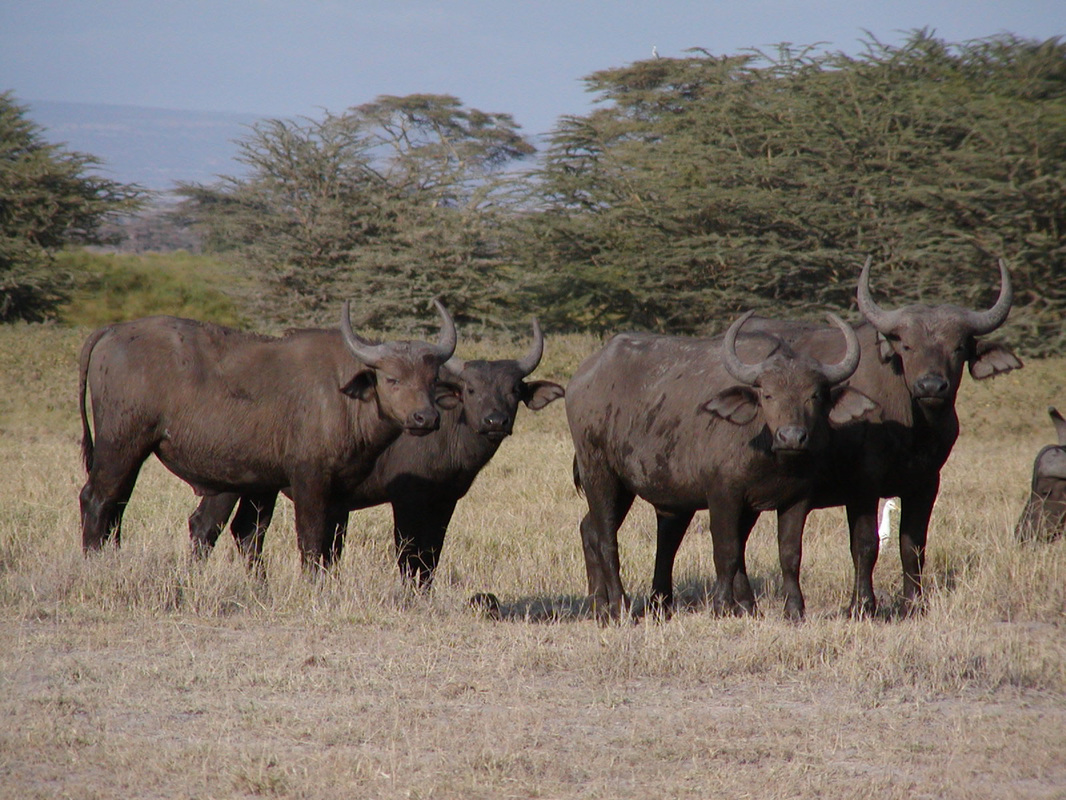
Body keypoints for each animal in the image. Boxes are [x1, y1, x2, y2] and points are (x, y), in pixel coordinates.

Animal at [78, 301, 457, 567]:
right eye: (392, 379)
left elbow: (280, 538)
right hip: (120, 446)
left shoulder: (296, 488)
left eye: (432, 379)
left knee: (118, 505)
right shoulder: (309, 480)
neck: (343, 395)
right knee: (96, 499)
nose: (425, 418)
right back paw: (94, 563)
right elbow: (311, 539)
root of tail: (112, 330)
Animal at [186, 319, 565, 584]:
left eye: (513, 389)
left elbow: (432, 554)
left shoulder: (444, 501)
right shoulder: (406, 499)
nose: (495, 420)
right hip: (228, 484)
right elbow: (408, 554)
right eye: (471, 389)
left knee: (240, 532)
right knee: (205, 527)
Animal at [566, 310, 879, 621]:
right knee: (607, 538)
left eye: (814, 395)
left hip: (627, 487)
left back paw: (601, 604)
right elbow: (727, 551)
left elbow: (789, 553)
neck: (768, 452)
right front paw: (722, 606)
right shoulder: (723, 495)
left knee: (590, 528)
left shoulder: (796, 499)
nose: (792, 436)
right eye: (768, 395)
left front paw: (793, 609)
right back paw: (619, 605)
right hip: (599, 473)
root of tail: (582, 378)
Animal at [745, 258, 1021, 615]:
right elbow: (865, 544)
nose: (931, 386)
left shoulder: (926, 483)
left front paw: (914, 601)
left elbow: (913, 545)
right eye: (907, 345)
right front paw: (862, 603)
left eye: (958, 347)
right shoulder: (864, 484)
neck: (914, 428)